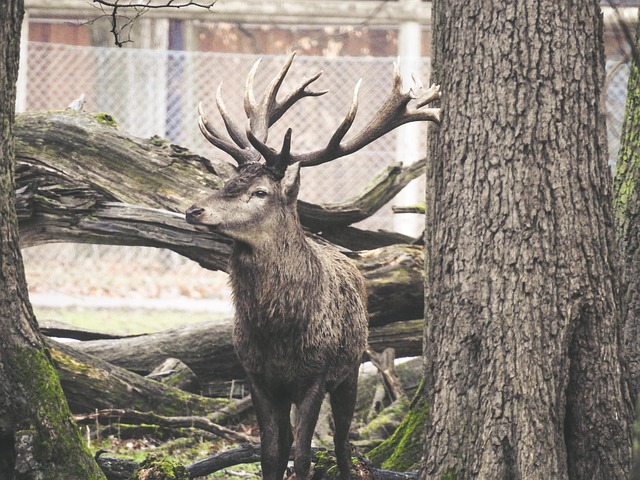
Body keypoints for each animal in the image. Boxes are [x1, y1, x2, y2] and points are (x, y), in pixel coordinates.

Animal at [185, 52, 440, 480]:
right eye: (228, 182)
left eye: (260, 192)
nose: (193, 209)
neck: (277, 332)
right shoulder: (257, 376)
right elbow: (271, 454)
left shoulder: (316, 375)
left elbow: (304, 454)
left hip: (352, 367)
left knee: (341, 441)